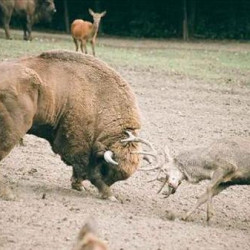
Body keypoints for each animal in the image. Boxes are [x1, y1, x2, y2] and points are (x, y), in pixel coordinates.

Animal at [0, 50, 152, 201]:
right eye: (107, 169)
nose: (106, 189)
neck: (99, 101)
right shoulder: (78, 144)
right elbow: (85, 168)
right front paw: (108, 195)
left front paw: (80, 186)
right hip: (13, 132)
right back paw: (7, 194)